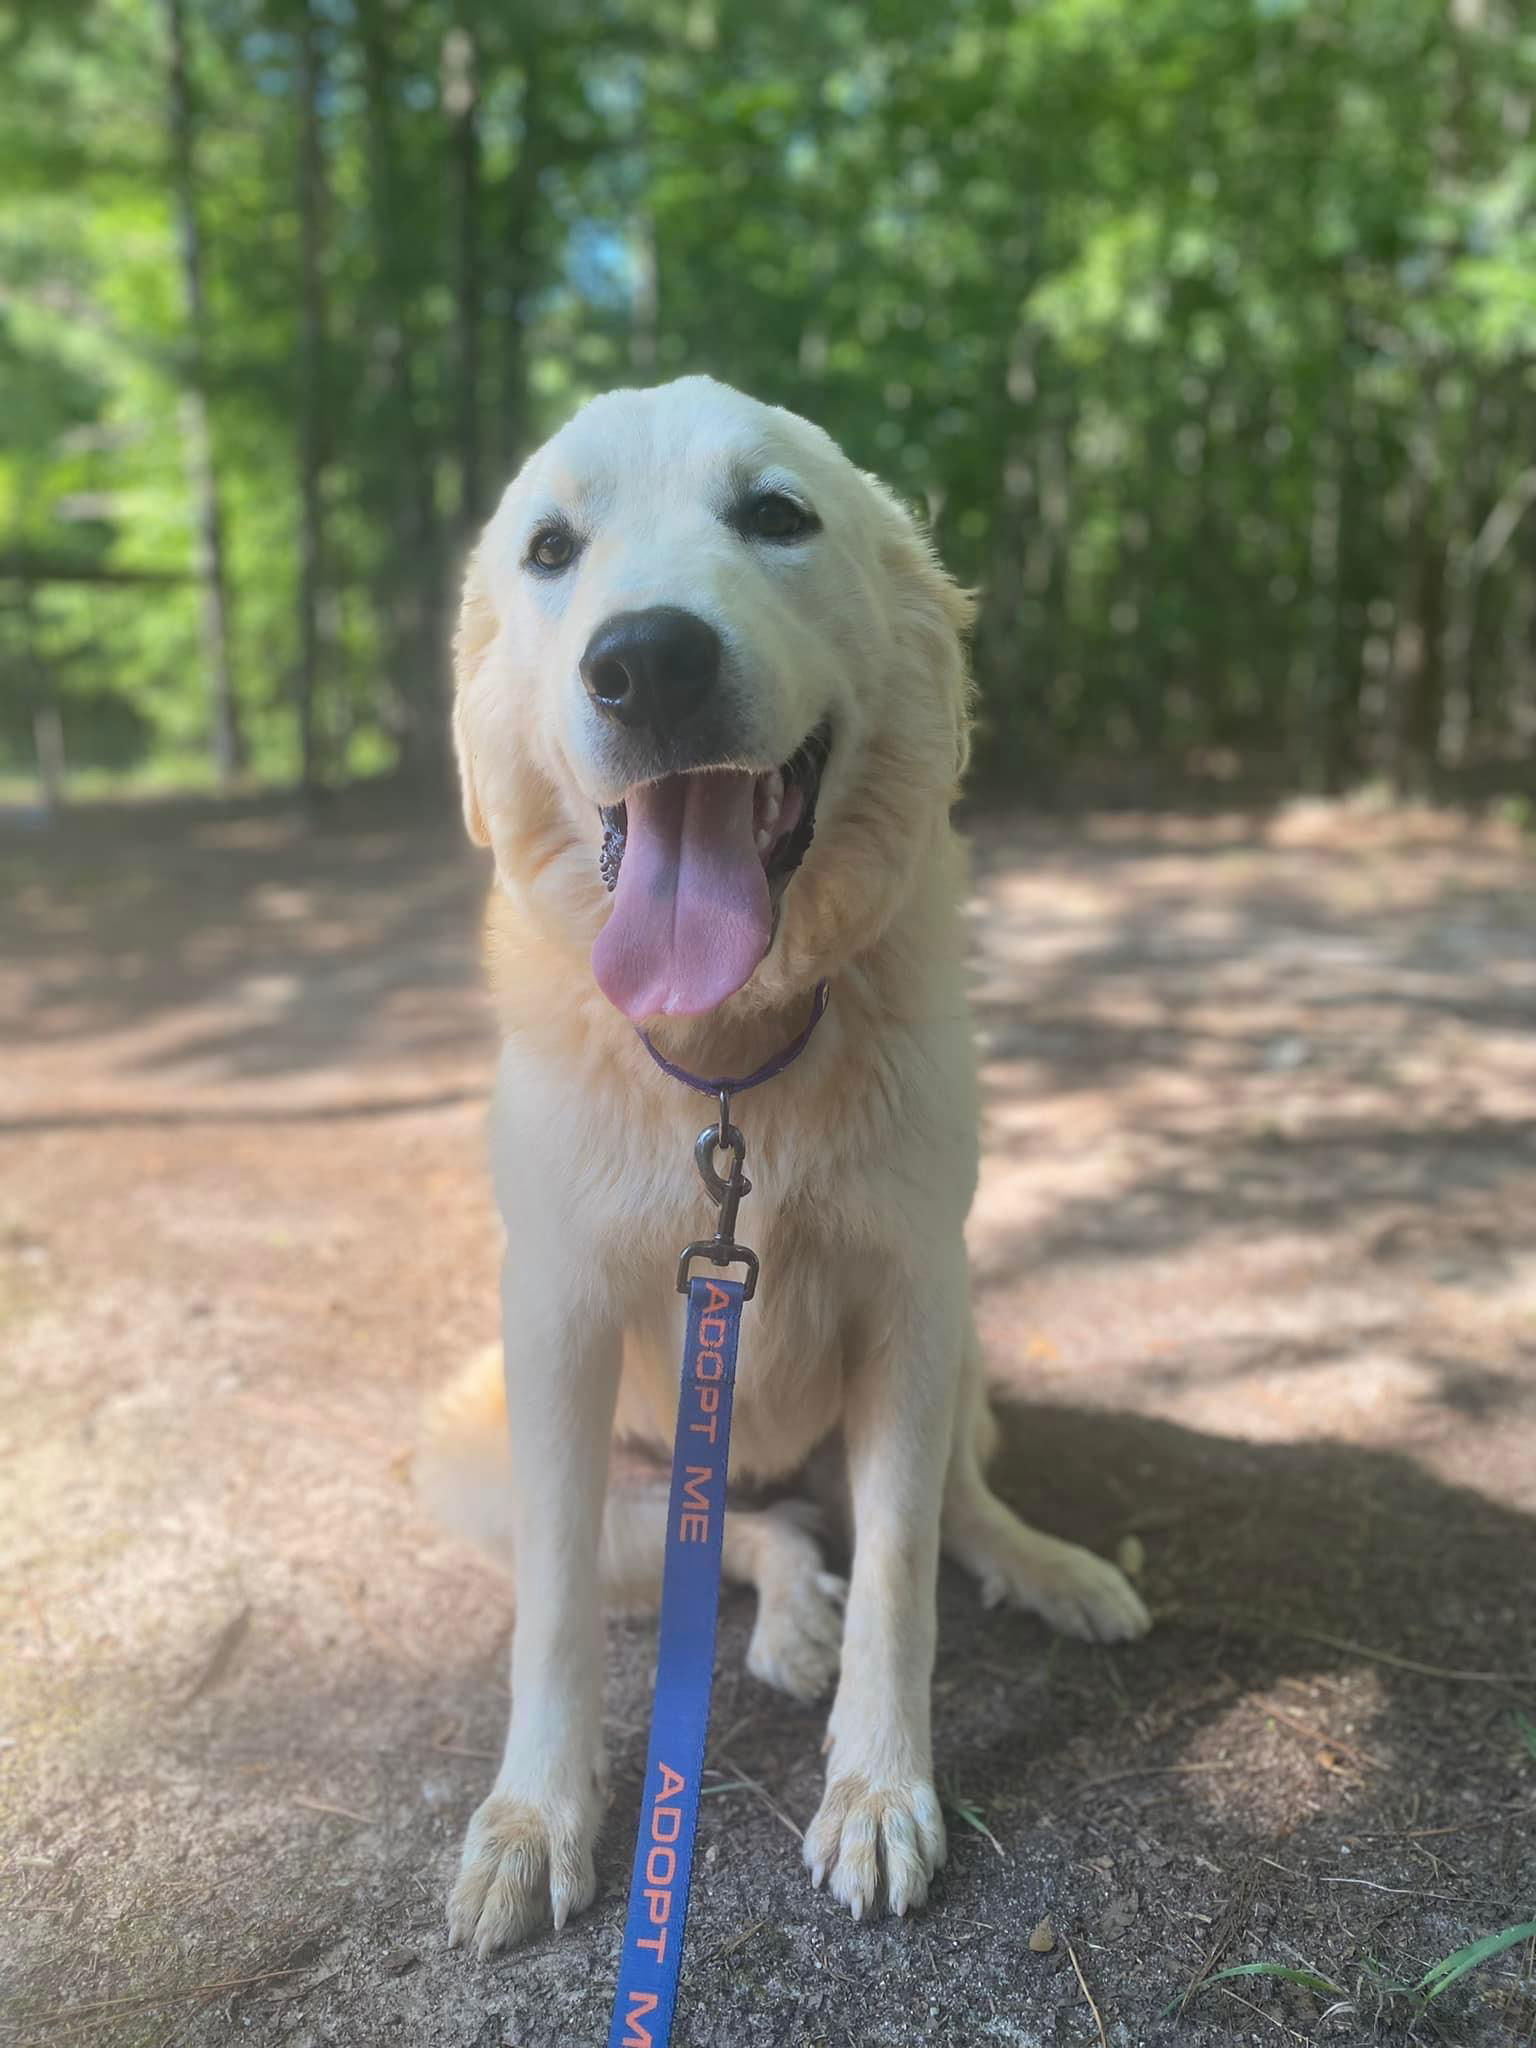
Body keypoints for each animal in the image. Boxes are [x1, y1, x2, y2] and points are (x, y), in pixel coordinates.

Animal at [415, 376, 1146, 1957]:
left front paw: (877, 1791)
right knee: (742, 1538)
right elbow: (553, 1622)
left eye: (775, 514)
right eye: (551, 547)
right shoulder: (555, 1330)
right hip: (487, 1462)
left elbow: (906, 1579)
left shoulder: (914, 1300)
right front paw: (536, 1818)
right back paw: (786, 1609)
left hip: (966, 1345)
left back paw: (1048, 1570)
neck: (731, 1056)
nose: (646, 663)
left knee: (930, 1512)